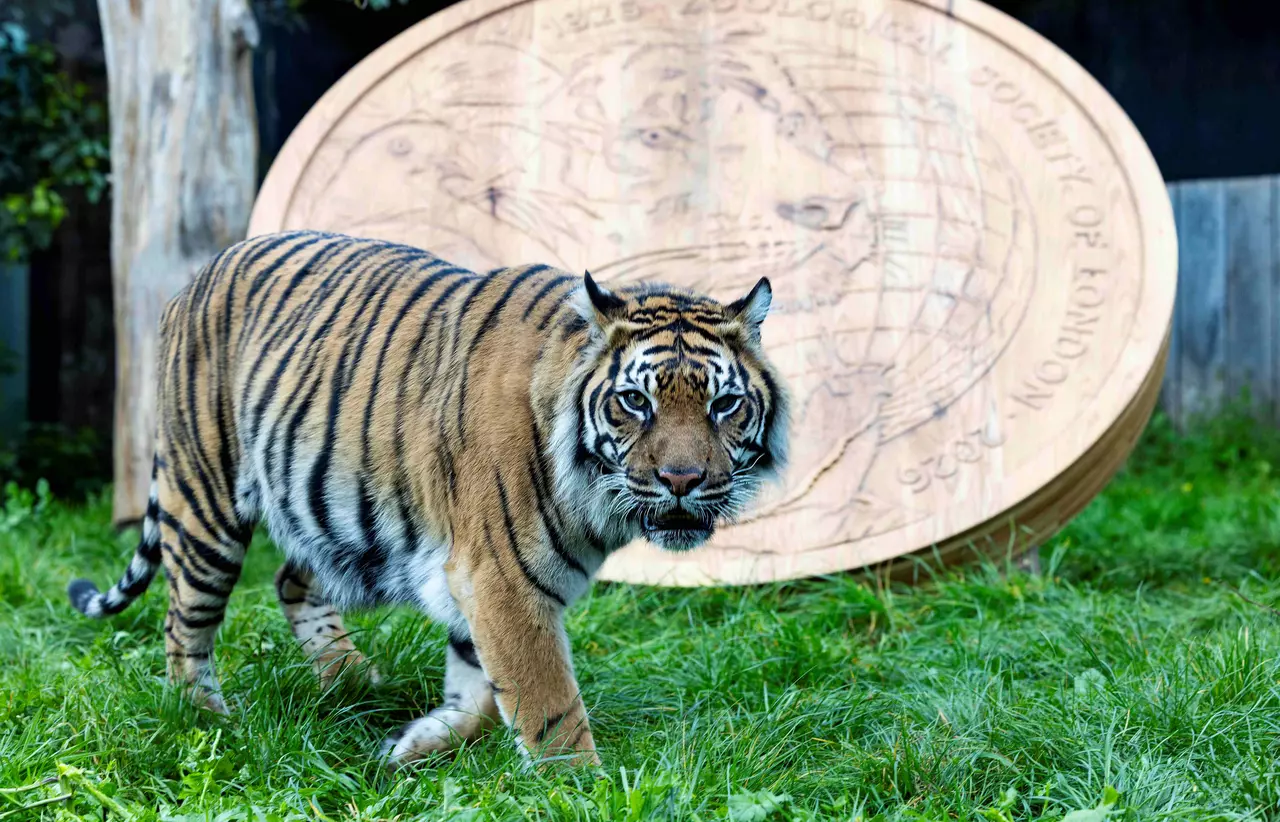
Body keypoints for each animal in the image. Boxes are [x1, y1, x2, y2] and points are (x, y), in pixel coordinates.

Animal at [66, 230, 789, 769]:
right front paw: (582, 789)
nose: (682, 480)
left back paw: (355, 681)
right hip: (206, 505)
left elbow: (481, 692)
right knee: (183, 626)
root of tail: (202, 271)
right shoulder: (501, 579)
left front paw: (416, 742)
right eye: (636, 401)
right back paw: (209, 723)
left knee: (291, 578)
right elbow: (548, 704)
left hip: (330, 510)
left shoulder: (473, 578)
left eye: (724, 404)